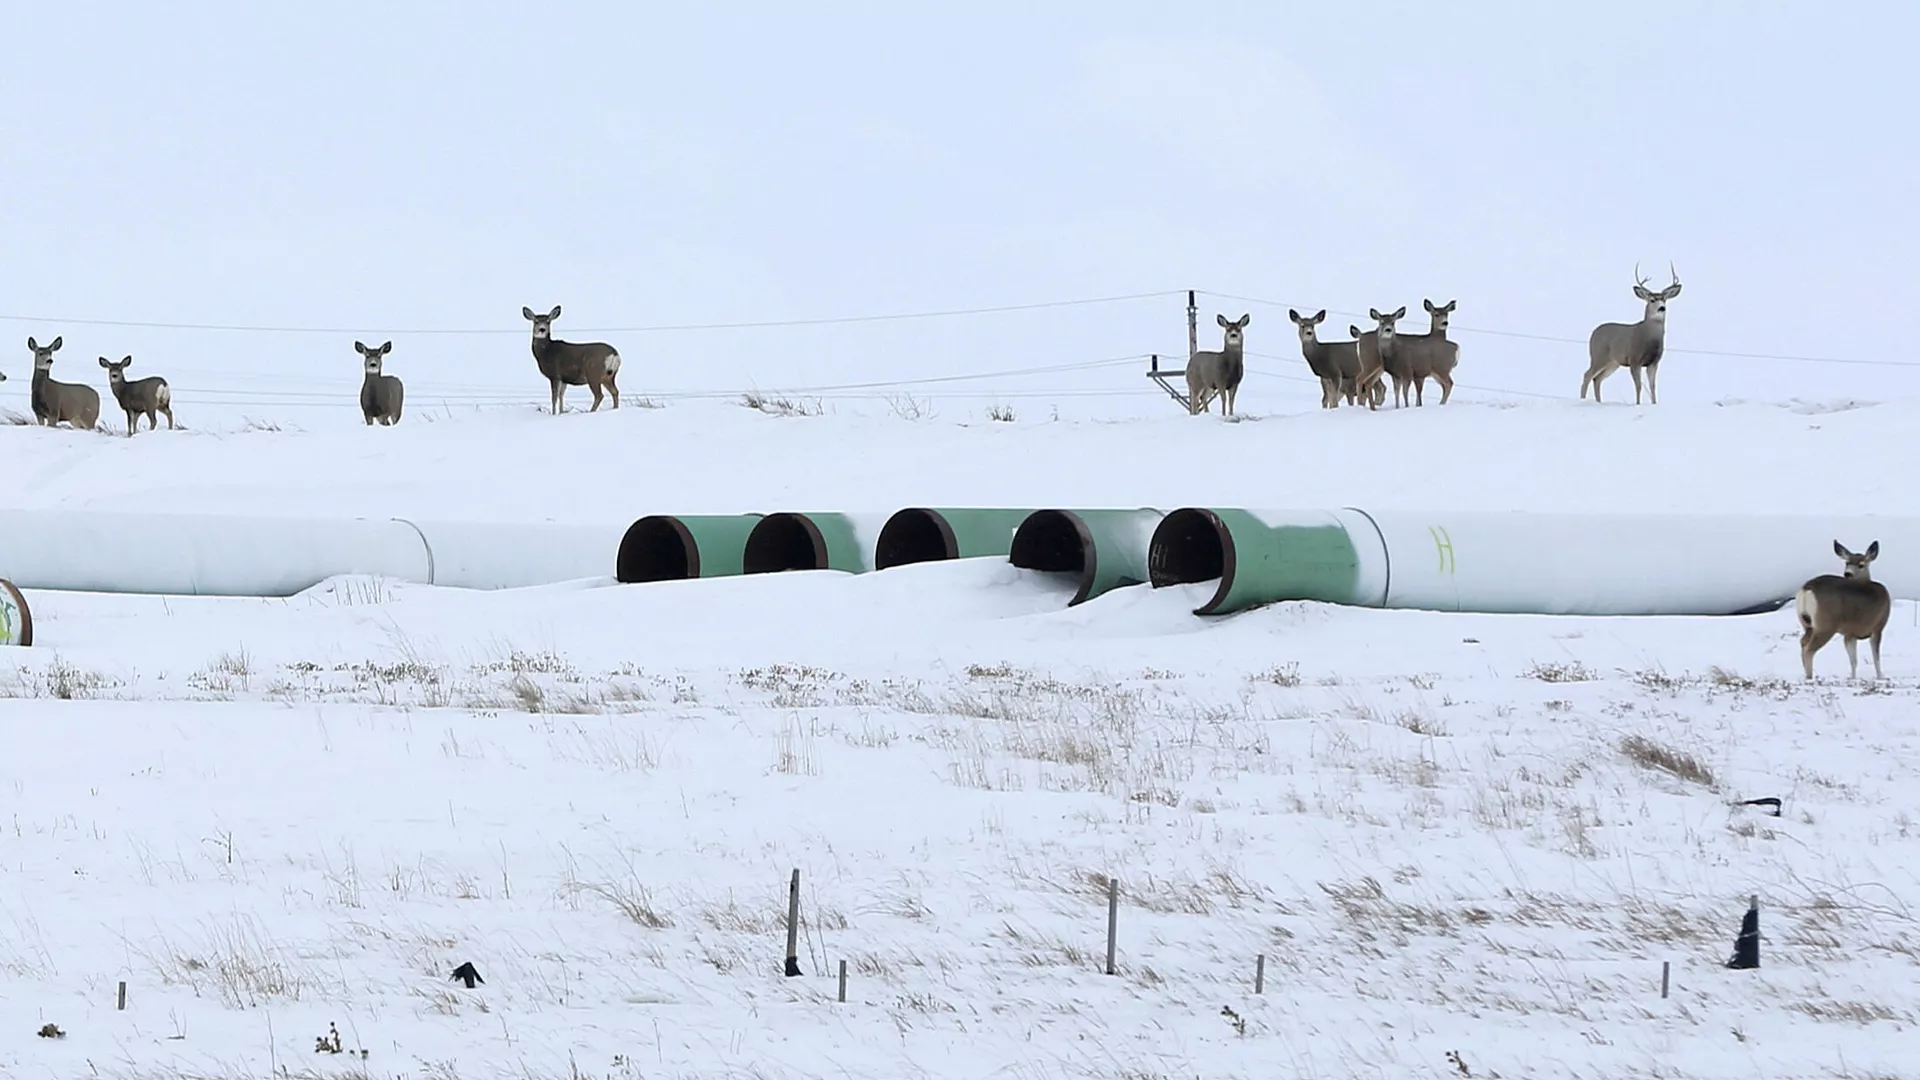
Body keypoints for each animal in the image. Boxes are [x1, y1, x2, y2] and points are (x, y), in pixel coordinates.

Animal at [1582, 263, 1689, 401]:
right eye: (1652, 300)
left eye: (1664, 299)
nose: (1662, 308)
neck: (1649, 338)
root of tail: (1593, 334)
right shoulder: (1634, 359)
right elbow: (1638, 386)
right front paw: (1637, 403)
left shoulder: (1653, 362)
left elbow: (1652, 387)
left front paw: (1654, 403)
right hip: (1599, 356)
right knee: (1587, 375)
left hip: (1613, 362)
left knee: (1597, 379)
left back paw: (1599, 401)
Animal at [1797, 538, 1889, 680]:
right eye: (1847, 562)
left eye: (1861, 565)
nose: (1847, 573)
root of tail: (1806, 589)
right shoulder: (1878, 626)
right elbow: (1875, 658)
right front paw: (1880, 677)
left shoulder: (1849, 633)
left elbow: (1853, 660)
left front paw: (1853, 678)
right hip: (1826, 624)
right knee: (1809, 650)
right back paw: (1810, 677)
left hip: (1807, 623)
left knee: (1802, 642)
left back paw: (1807, 675)